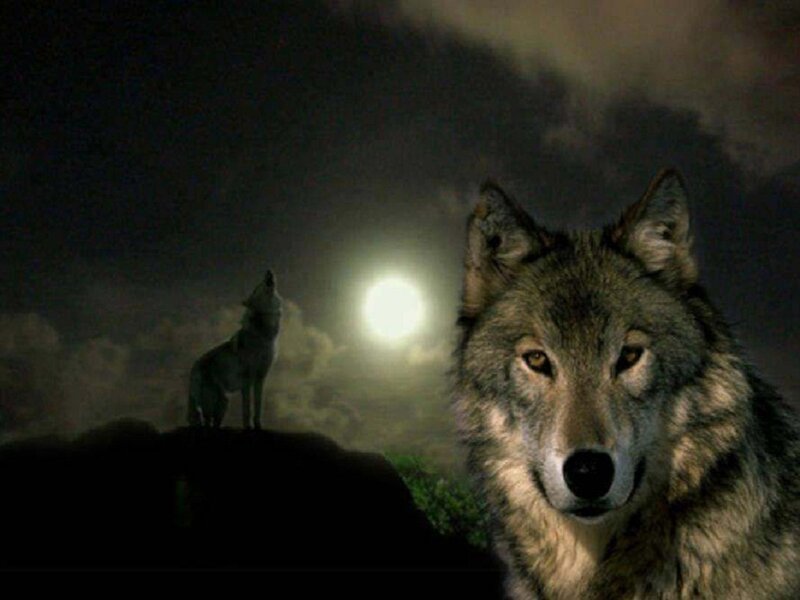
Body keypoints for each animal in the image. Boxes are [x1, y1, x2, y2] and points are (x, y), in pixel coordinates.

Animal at [188, 270, 281, 429]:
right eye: (258, 286)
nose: (268, 271)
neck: (264, 335)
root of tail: (193, 368)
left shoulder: (260, 378)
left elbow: (258, 406)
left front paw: (258, 426)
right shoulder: (247, 381)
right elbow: (247, 409)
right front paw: (248, 427)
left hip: (223, 403)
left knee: (213, 423)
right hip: (211, 402)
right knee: (206, 422)